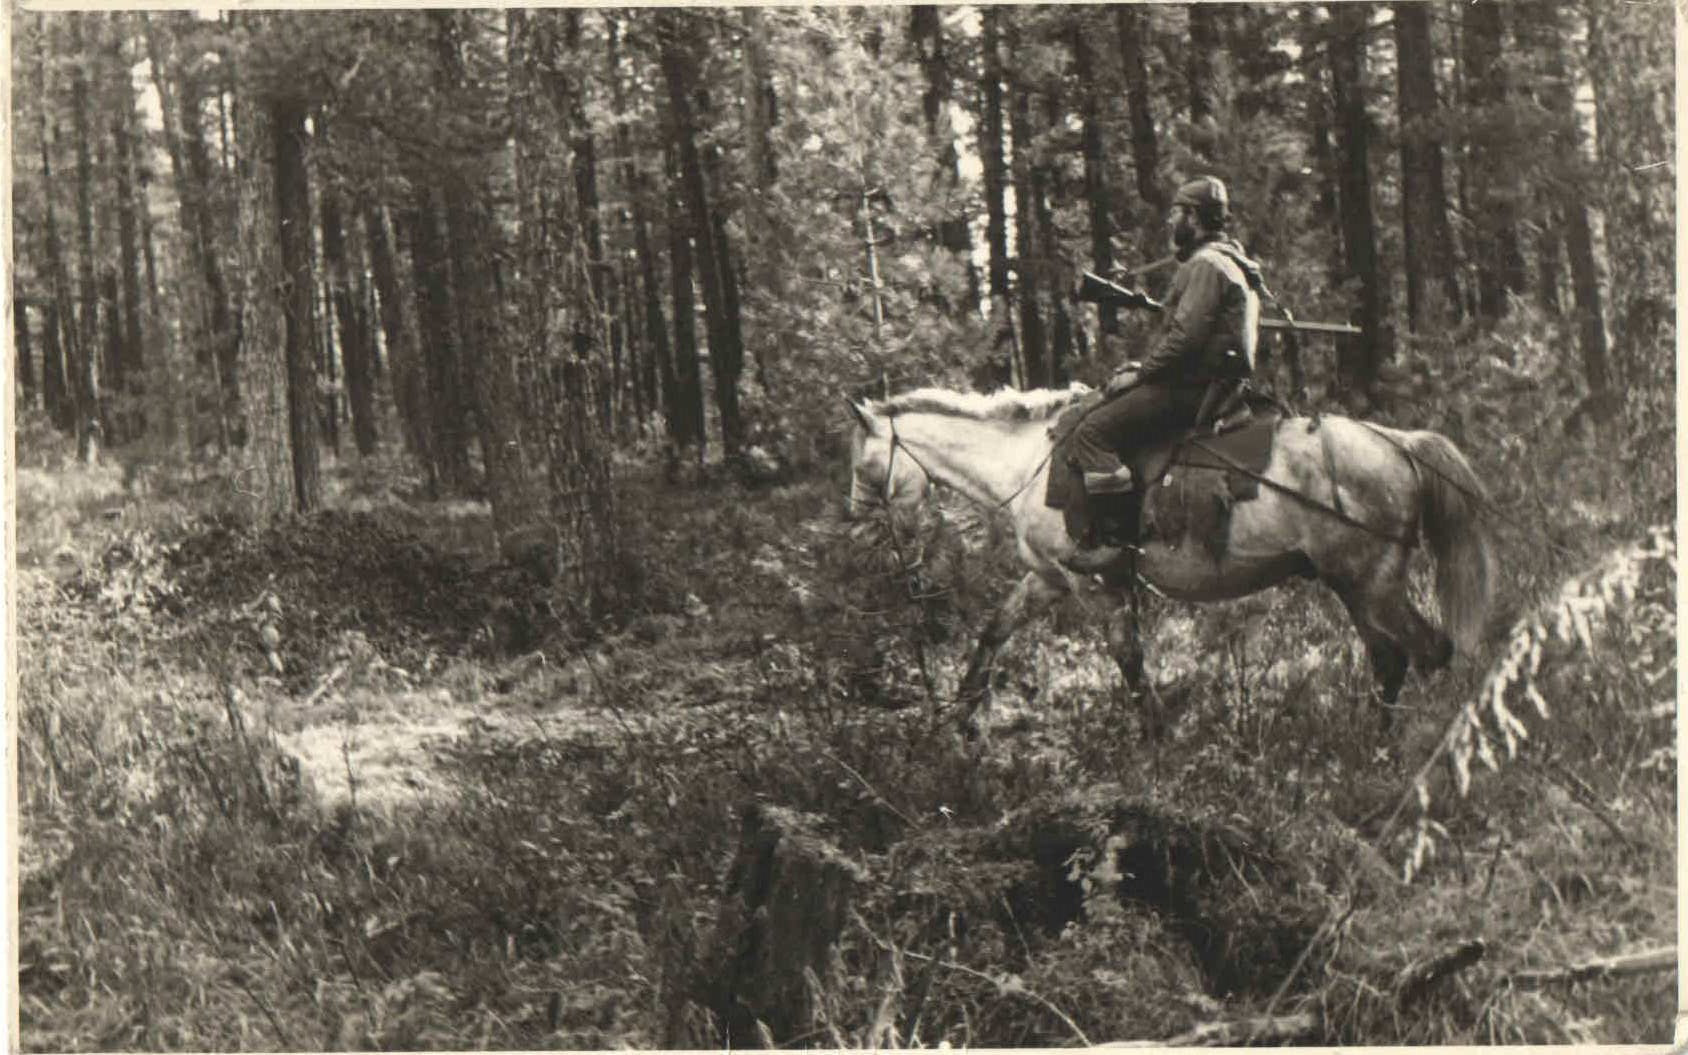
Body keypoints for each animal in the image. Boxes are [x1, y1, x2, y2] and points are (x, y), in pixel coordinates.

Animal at [850, 383, 1498, 735]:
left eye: (864, 467)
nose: (860, 531)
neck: (1027, 464)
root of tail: (1398, 442)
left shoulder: (1097, 583)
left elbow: (1130, 660)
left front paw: (1157, 740)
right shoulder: (1048, 579)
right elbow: (993, 632)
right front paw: (957, 721)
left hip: (1370, 580)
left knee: (1428, 650)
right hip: (1356, 584)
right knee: (1391, 658)